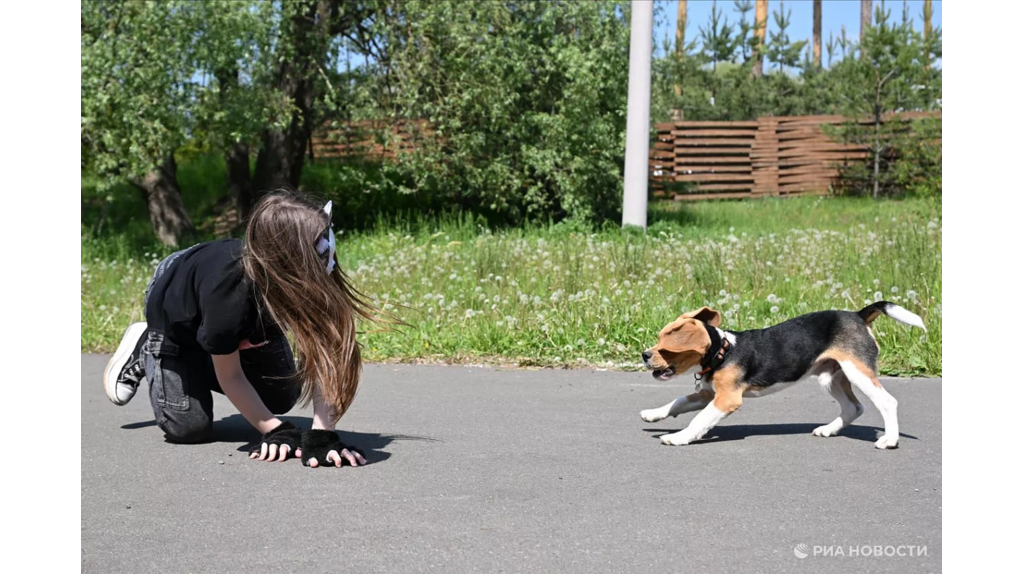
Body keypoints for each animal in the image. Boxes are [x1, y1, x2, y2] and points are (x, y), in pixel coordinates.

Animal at [634, 300, 925, 448]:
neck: (723, 352)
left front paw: (679, 437)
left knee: (887, 402)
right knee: (854, 407)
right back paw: (828, 430)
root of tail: (858, 315)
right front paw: (653, 414)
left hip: (857, 372)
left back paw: (889, 440)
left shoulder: (726, 399)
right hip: (831, 377)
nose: (645, 355)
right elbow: (678, 402)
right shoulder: (708, 394)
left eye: (666, 348)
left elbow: (699, 419)